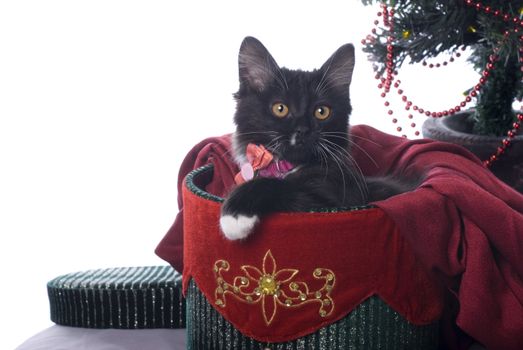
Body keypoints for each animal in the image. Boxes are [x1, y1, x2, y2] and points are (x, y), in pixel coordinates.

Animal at [219, 37, 412, 241]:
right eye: (280, 108)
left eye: (321, 112)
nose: (303, 130)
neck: (286, 166)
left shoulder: (337, 200)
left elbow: (281, 186)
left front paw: (235, 214)